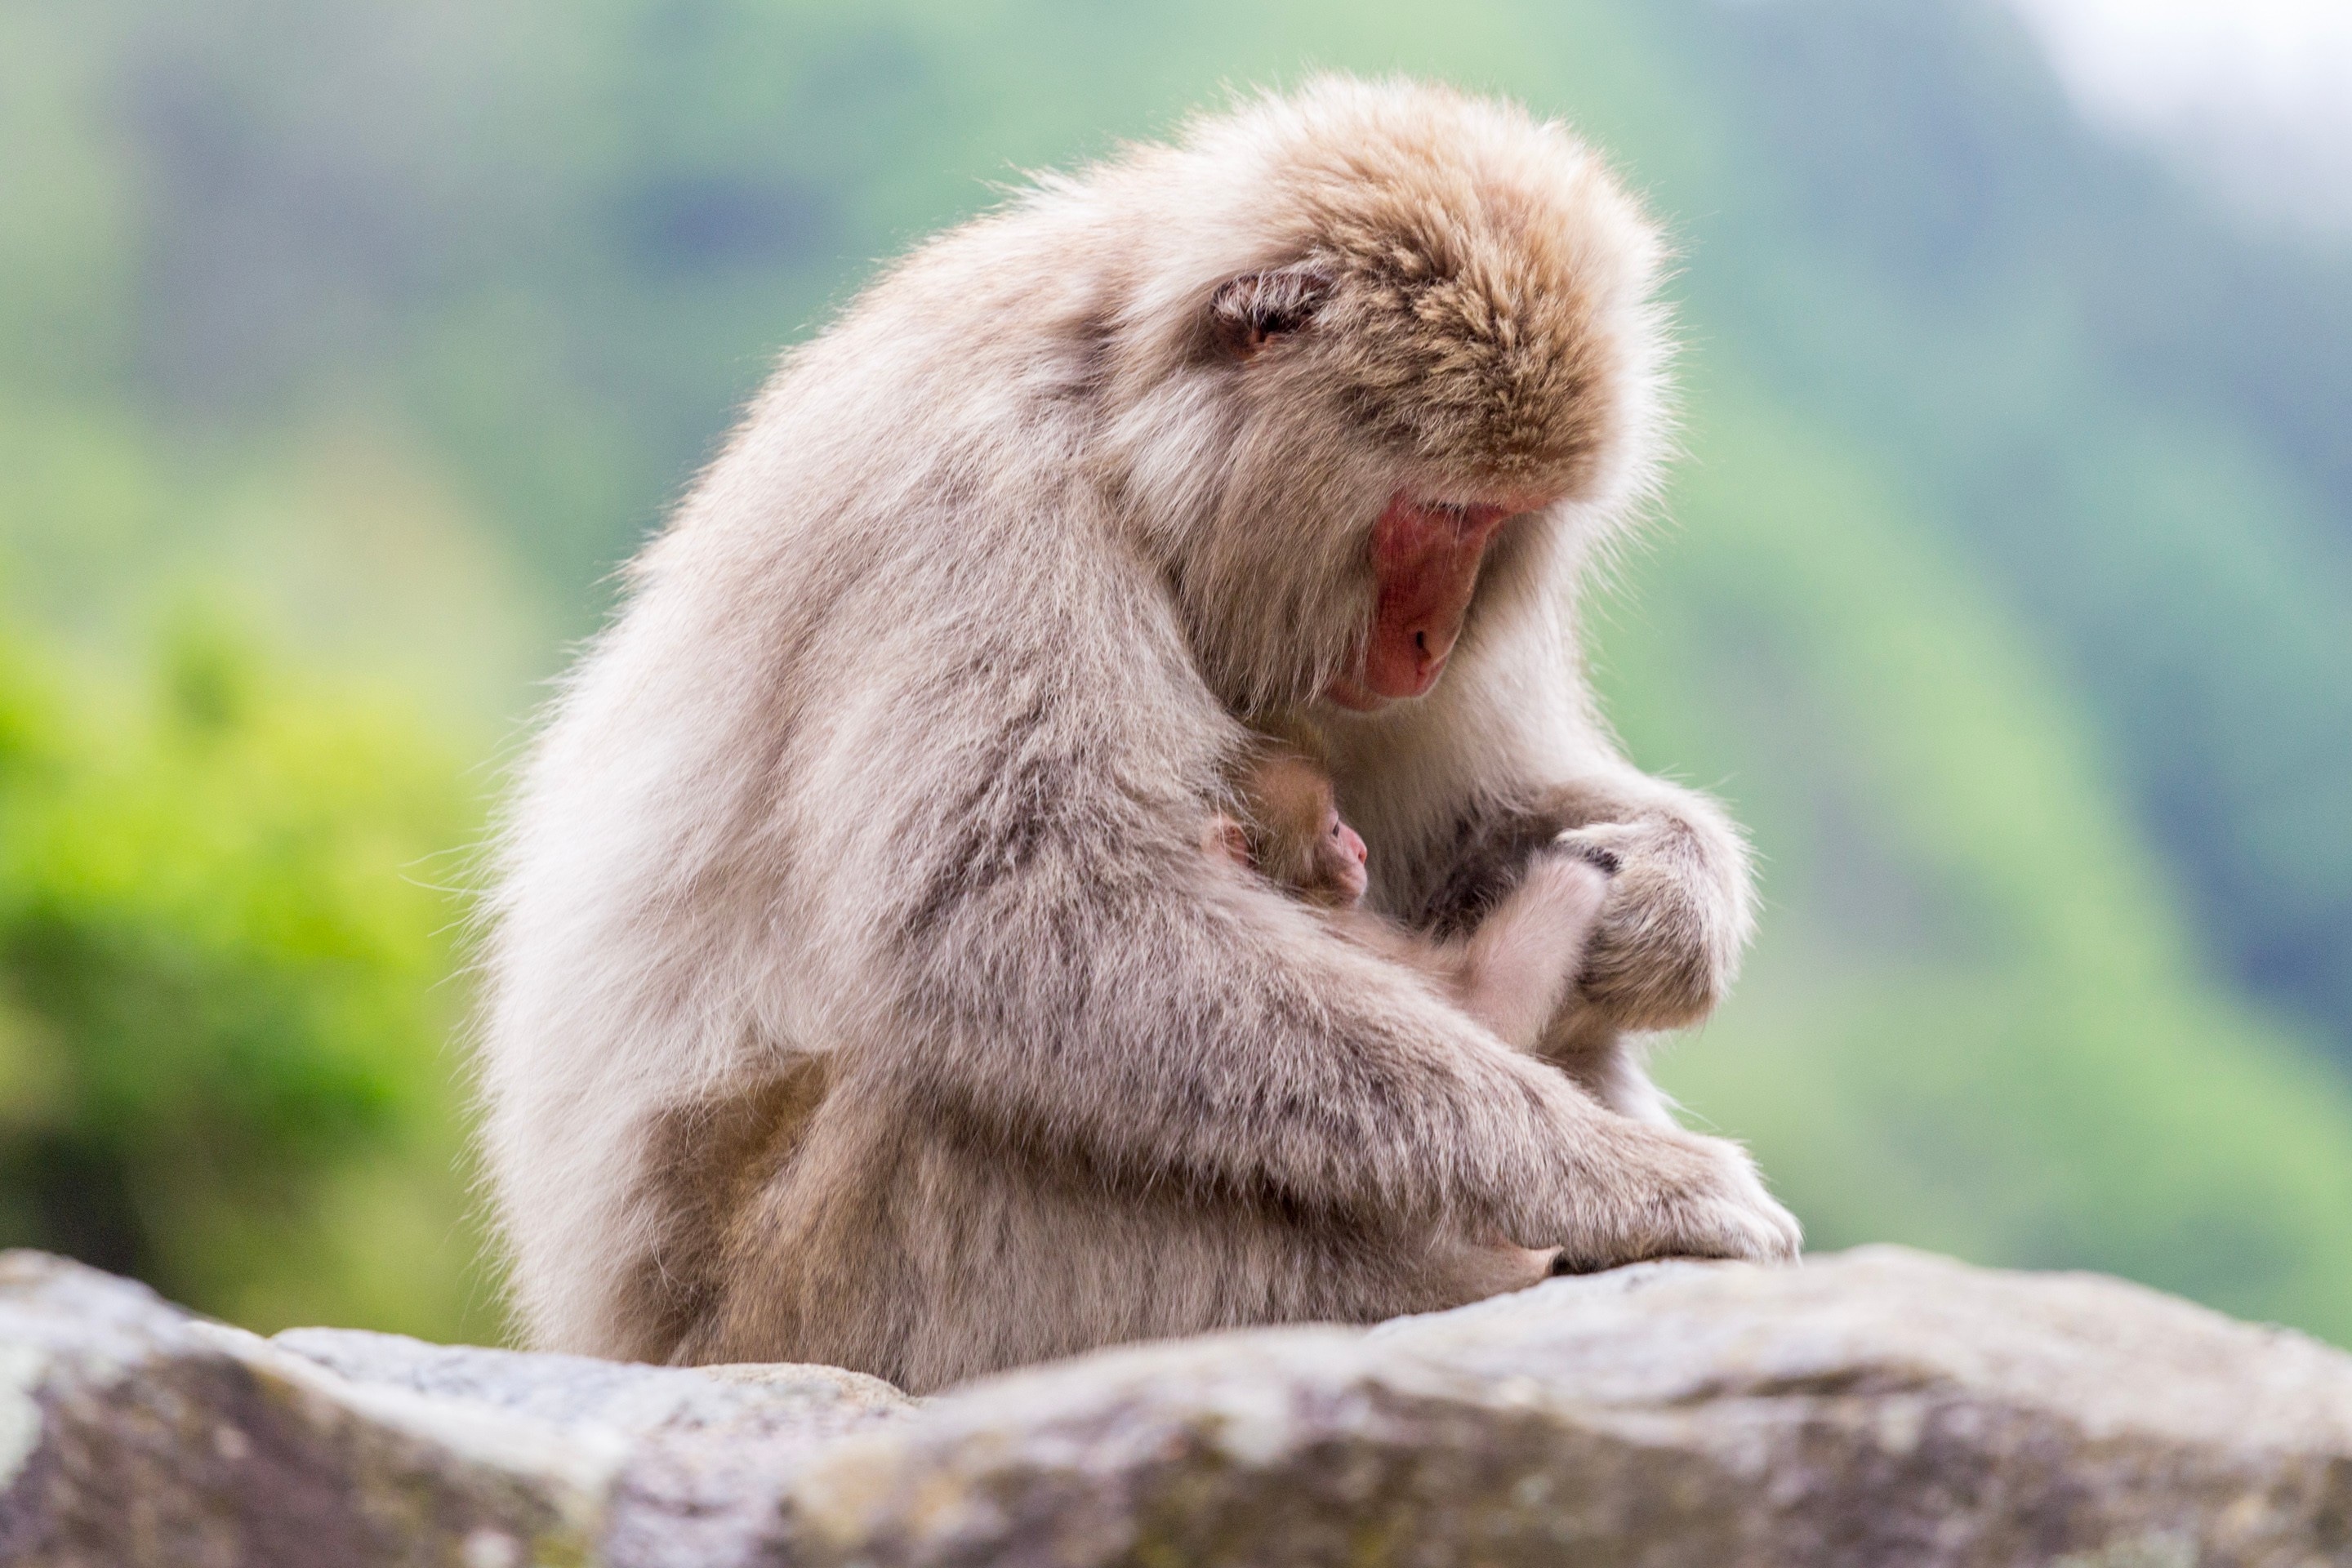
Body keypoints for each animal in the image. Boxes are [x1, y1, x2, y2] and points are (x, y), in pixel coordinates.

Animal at [479, 75, 1800, 1395]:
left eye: (1505, 520)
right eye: (1442, 509)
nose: (1433, 642)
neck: (1121, 418)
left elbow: (1465, 825)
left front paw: (1671, 901)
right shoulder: (980, 492)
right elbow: (1014, 911)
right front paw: (1622, 1182)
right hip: (816, 1281)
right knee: (949, 1086)